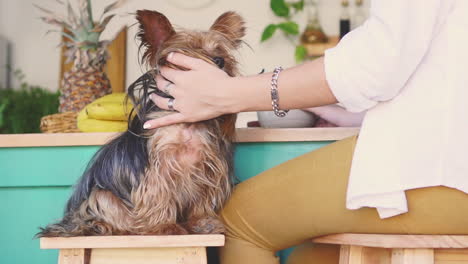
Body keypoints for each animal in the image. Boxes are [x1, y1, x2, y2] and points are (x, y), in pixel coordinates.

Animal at [38, 9, 247, 237]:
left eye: (219, 50)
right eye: (189, 50)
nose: (220, 60)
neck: (187, 124)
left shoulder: (208, 166)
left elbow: (202, 198)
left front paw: (203, 222)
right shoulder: (157, 170)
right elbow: (158, 195)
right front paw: (165, 226)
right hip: (102, 196)